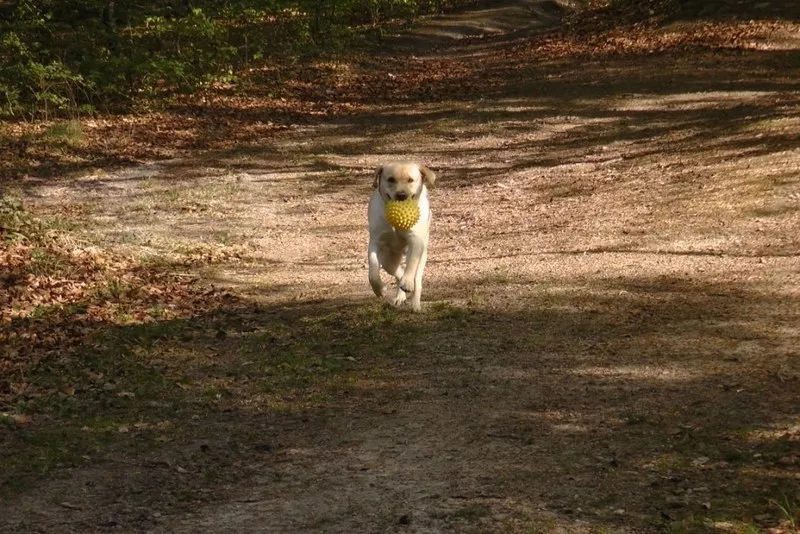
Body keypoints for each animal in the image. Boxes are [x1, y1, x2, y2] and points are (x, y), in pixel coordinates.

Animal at [368, 164, 438, 314]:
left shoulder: (416, 242)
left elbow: (411, 265)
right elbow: (373, 271)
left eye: (410, 180)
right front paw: (380, 290)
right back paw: (400, 294)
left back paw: (415, 302)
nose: (401, 195)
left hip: (422, 254)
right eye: (391, 179)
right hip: (389, 259)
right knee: (396, 271)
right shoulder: (376, 242)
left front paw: (407, 283)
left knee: (416, 278)